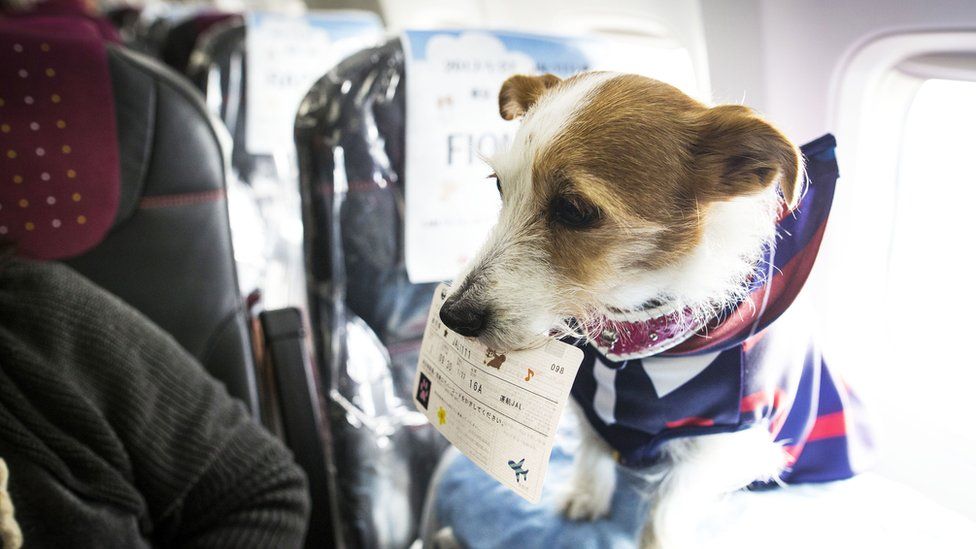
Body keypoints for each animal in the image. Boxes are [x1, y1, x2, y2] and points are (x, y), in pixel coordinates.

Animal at [436, 73, 868, 548]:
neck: (638, 340)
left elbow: (668, 507)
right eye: (499, 186)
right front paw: (587, 495)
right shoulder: (590, 404)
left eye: (574, 210)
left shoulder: (717, 442)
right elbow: (593, 447)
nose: (452, 316)